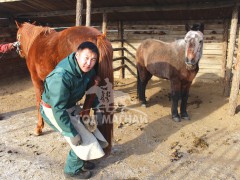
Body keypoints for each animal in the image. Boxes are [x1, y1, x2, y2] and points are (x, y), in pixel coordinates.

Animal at [15, 21, 114, 153]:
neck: (36, 41)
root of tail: (98, 36)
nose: (19, 51)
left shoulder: (37, 81)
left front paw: (39, 128)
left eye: (18, 35)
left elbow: (38, 102)